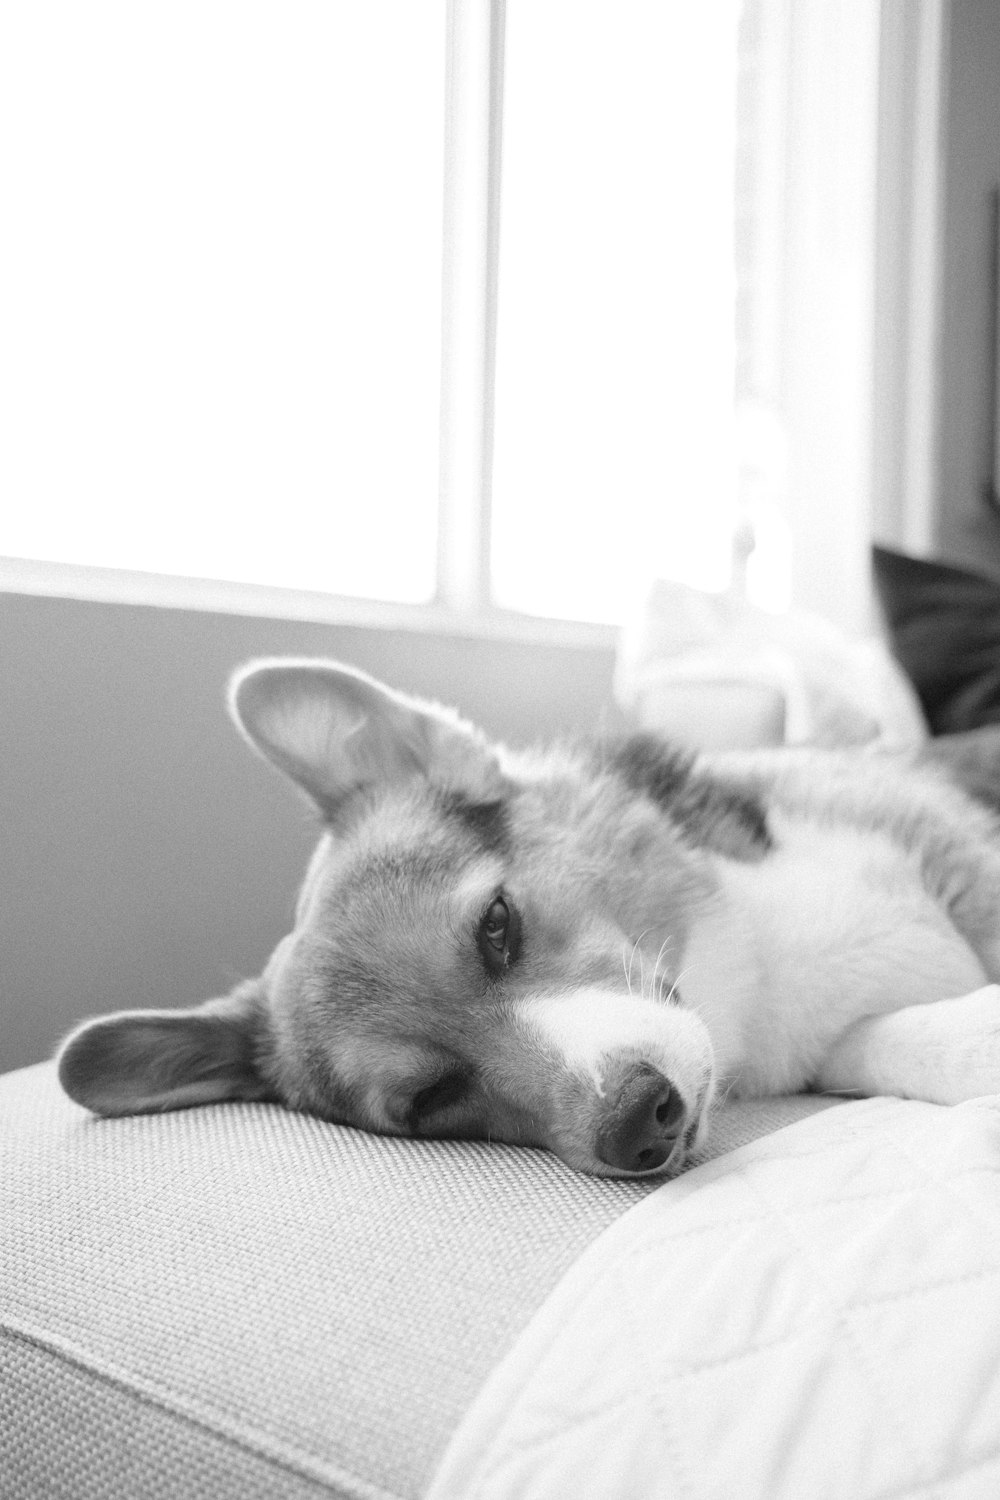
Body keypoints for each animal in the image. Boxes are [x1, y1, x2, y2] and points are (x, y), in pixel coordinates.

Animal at [56, 663, 1000, 1176]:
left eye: (496, 925)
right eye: (432, 1097)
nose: (637, 1124)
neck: (756, 975)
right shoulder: (833, 1044)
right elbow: (905, 1042)